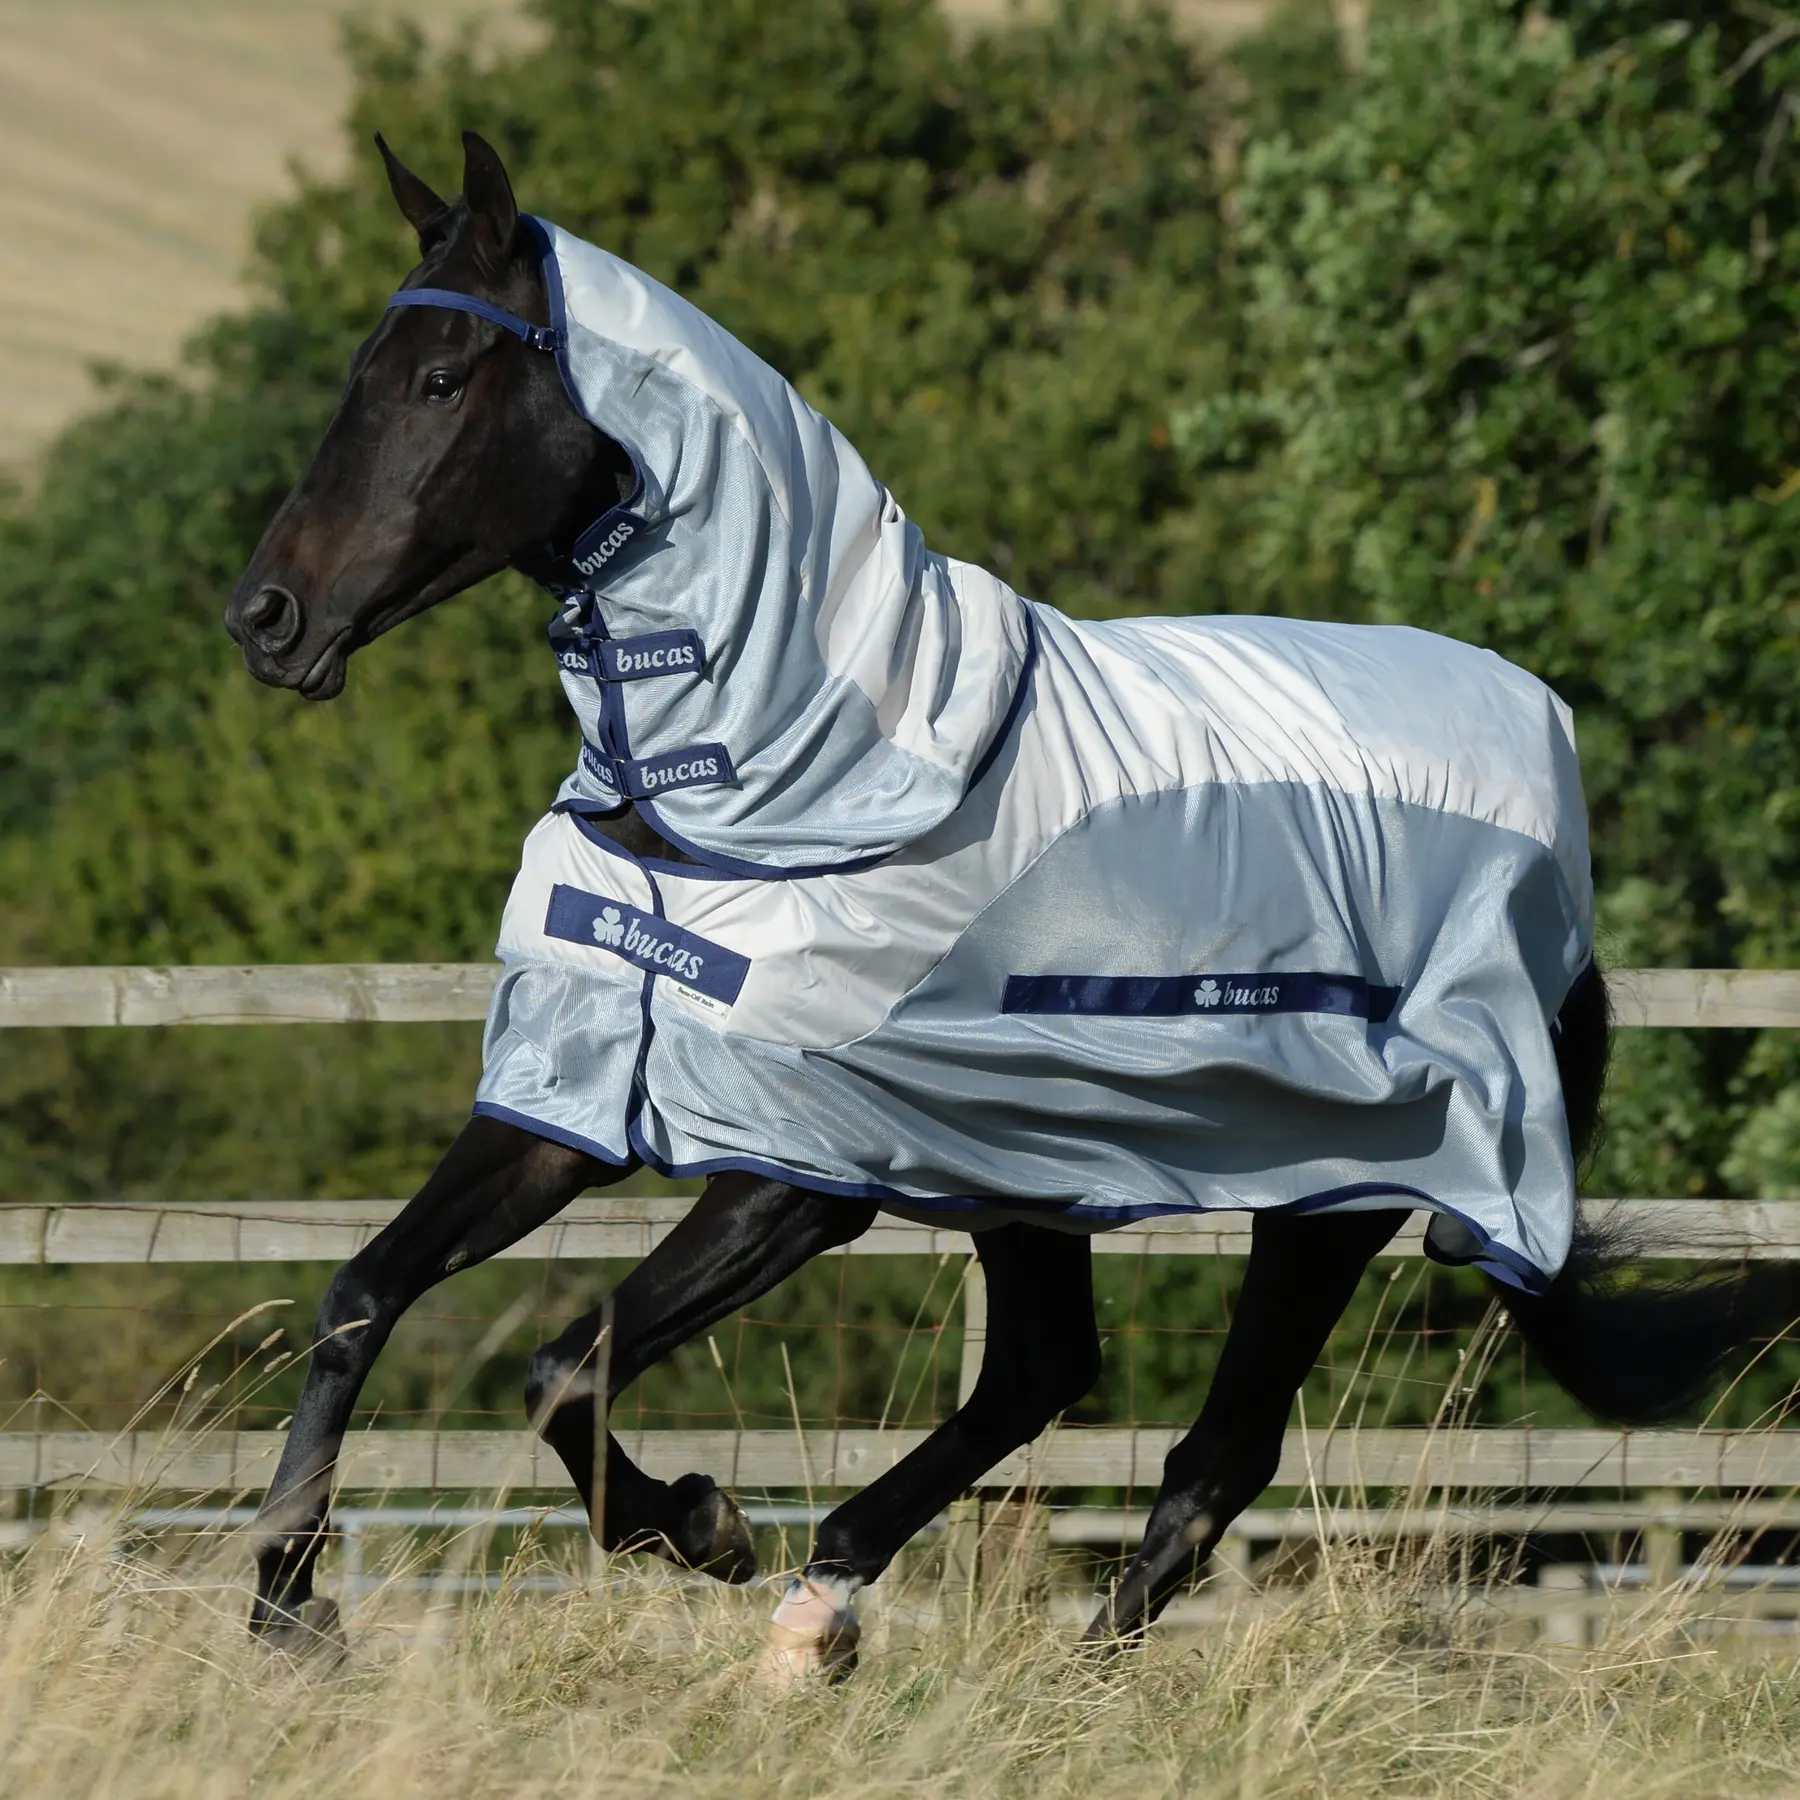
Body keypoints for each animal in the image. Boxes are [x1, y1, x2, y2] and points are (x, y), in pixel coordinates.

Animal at [225, 130, 1794, 1675]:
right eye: (364, 369)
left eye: (441, 378)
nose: (265, 620)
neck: (769, 788)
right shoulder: (577, 1091)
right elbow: (362, 1296)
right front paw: (291, 1609)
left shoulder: (797, 1176)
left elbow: (563, 1367)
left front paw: (704, 1525)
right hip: (1028, 1157)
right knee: (1051, 1373)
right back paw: (830, 1600)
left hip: (1321, 1189)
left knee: (1212, 1454)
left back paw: (1026, 1665)